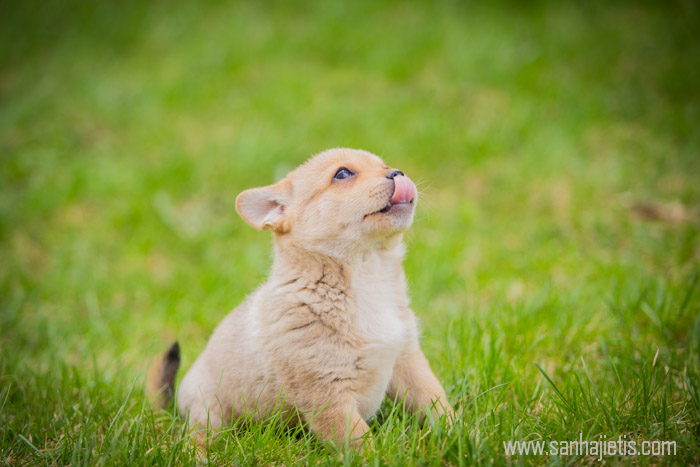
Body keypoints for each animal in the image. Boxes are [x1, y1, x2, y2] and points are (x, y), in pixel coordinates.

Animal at [148, 148, 454, 448]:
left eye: (384, 165)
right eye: (343, 174)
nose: (398, 173)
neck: (368, 273)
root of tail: (177, 405)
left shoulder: (408, 360)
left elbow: (434, 402)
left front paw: (457, 434)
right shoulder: (327, 393)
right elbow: (359, 441)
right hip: (207, 412)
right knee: (196, 438)